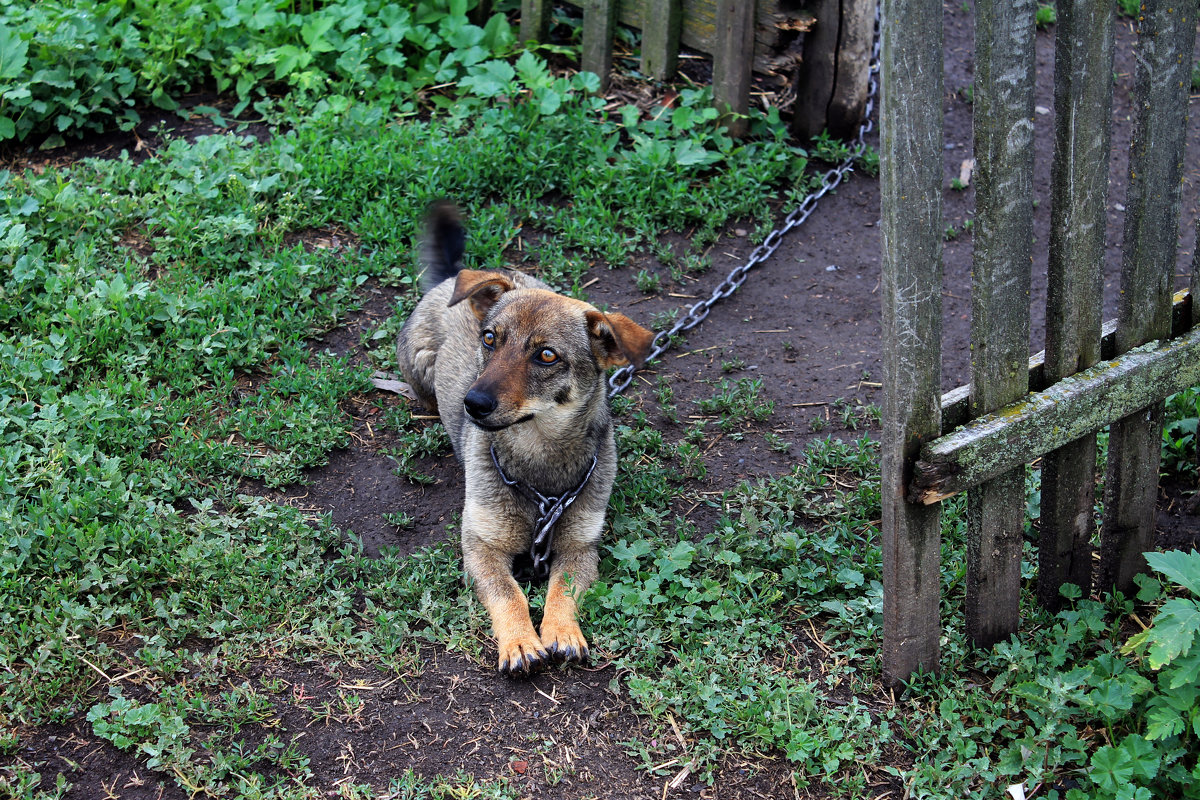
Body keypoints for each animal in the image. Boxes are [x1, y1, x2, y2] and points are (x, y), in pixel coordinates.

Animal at [398, 203, 652, 671]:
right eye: (489, 338)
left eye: (547, 355)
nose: (473, 403)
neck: (539, 463)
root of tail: (453, 276)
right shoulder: (480, 546)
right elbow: (509, 594)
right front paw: (519, 641)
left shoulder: (580, 547)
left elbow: (563, 590)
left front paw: (562, 631)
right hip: (419, 366)